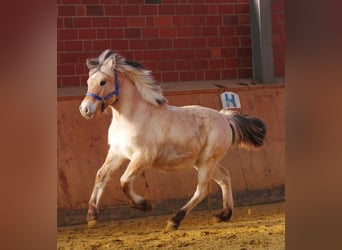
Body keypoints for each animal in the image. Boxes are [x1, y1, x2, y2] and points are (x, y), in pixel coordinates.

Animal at [79, 49, 266, 230]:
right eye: (88, 81)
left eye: (103, 82)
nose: (85, 109)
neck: (131, 118)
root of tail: (225, 118)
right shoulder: (117, 153)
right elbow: (101, 175)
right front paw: (92, 216)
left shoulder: (143, 157)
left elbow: (124, 181)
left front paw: (145, 205)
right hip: (201, 161)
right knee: (224, 177)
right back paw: (224, 215)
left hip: (207, 161)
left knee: (202, 189)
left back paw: (174, 220)